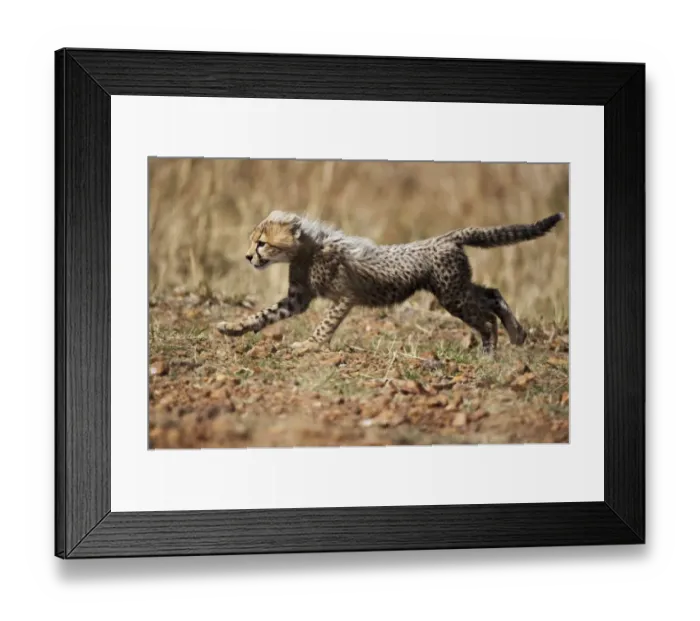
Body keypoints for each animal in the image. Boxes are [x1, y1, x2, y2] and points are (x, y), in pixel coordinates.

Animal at [216, 210, 565, 354]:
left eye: (262, 243)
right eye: (253, 242)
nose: (248, 257)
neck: (307, 249)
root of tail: (447, 237)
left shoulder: (344, 297)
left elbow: (325, 325)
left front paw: (310, 345)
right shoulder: (296, 299)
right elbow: (265, 314)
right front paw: (233, 327)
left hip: (451, 294)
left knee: (487, 317)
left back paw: (490, 353)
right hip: (456, 287)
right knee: (492, 293)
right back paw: (517, 333)